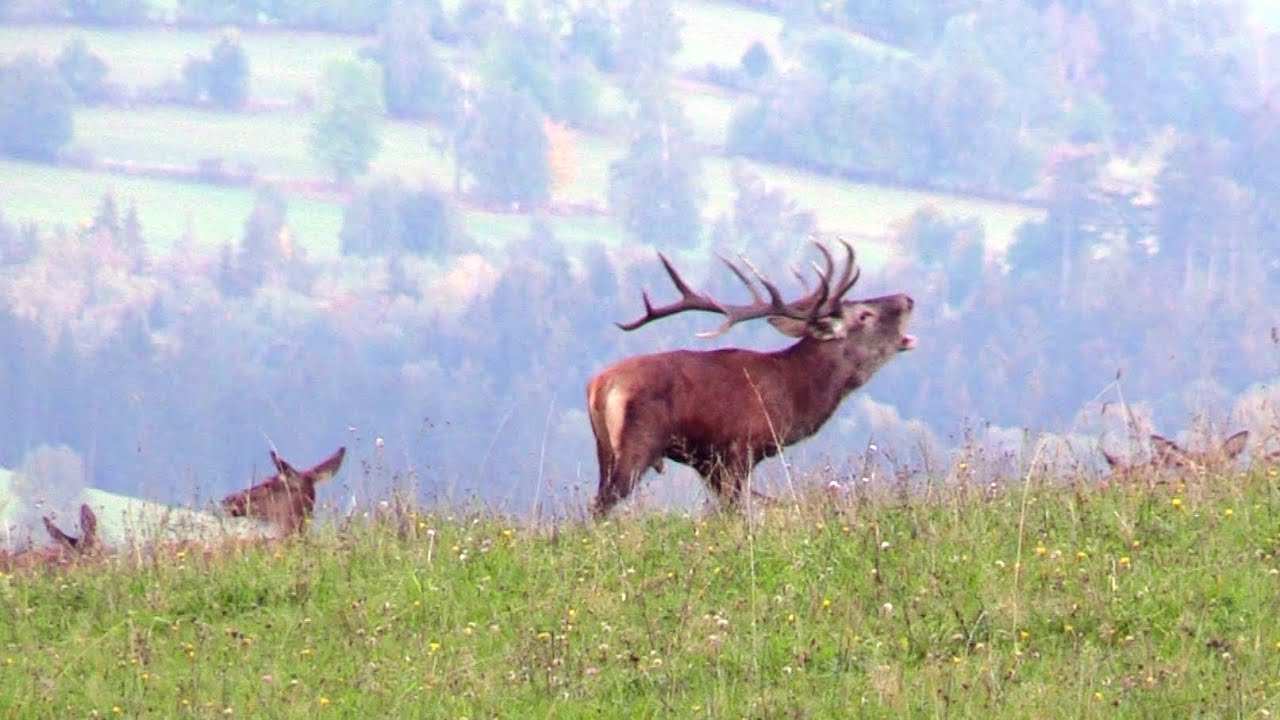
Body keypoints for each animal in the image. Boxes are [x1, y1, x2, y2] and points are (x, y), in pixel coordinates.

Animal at [586, 239, 915, 517]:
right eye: (864, 315)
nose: (908, 299)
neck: (794, 395)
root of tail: (600, 386)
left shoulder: (709, 462)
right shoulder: (740, 448)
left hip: (604, 448)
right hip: (638, 441)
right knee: (601, 507)